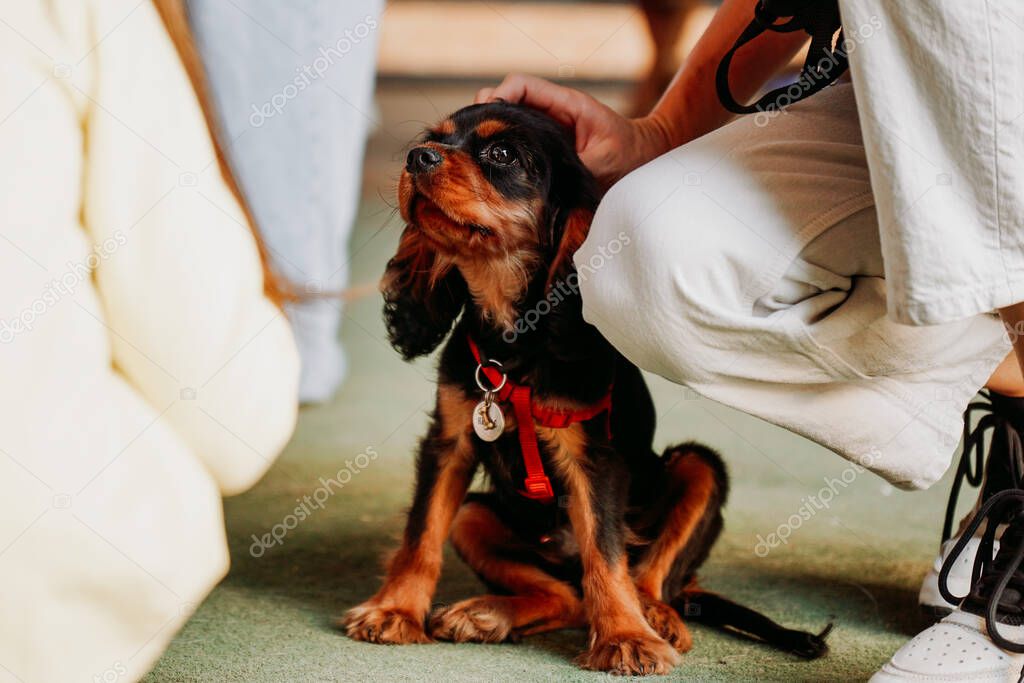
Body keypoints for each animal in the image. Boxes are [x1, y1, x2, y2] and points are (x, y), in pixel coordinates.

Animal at [339, 102, 827, 679]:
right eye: (436, 138)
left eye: (502, 154)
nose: (418, 157)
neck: (514, 342)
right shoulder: (450, 440)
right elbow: (422, 532)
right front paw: (394, 610)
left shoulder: (593, 458)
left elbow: (606, 552)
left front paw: (625, 638)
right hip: (477, 516)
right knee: (567, 596)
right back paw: (487, 615)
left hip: (698, 466)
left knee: (646, 575)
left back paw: (652, 617)